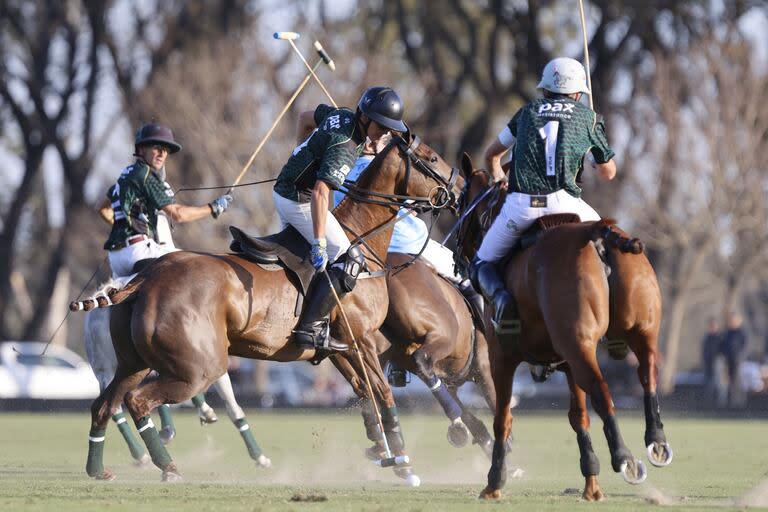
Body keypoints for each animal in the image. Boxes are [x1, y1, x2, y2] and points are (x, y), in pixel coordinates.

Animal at [78, 133, 462, 484]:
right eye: (431, 156)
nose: (457, 190)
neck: (360, 244)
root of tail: (147, 275)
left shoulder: (339, 347)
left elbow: (364, 392)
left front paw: (383, 452)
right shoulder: (362, 339)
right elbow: (382, 393)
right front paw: (404, 463)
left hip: (133, 362)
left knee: (104, 404)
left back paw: (98, 469)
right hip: (199, 367)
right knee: (139, 402)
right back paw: (168, 466)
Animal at [456, 156, 672, 500]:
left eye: (463, 198)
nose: (457, 255)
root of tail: (600, 232)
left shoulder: (501, 357)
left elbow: (503, 417)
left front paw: (494, 481)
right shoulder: (567, 363)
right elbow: (578, 417)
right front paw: (591, 485)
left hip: (579, 345)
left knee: (602, 389)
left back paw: (624, 457)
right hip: (636, 332)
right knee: (647, 373)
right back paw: (656, 441)